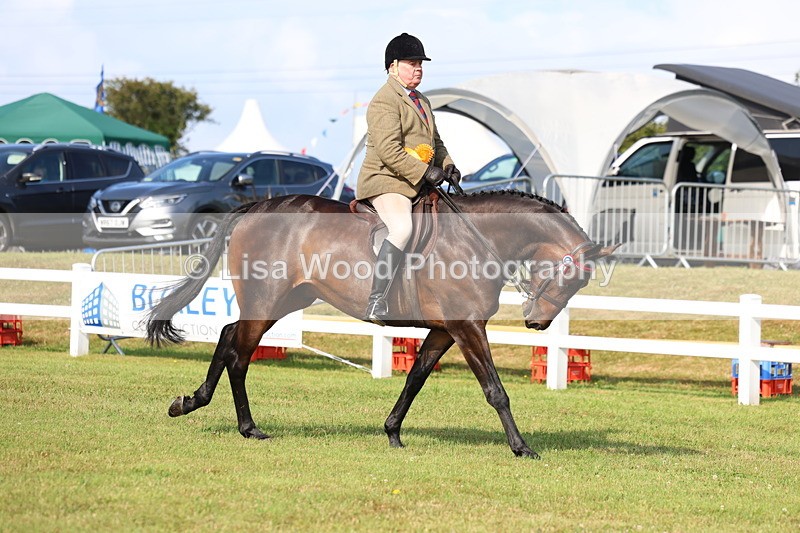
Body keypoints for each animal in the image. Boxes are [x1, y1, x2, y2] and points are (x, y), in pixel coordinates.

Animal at [146, 189, 617, 458]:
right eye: (572, 276)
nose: (537, 322)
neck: (476, 239)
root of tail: (255, 206)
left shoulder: (445, 329)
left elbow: (415, 379)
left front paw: (392, 432)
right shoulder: (467, 326)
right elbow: (495, 391)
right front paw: (521, 447)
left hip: (289, 298)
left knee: (230, 338)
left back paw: (203, 406)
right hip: (266, 300)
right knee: (239, 353)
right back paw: (237, 423)